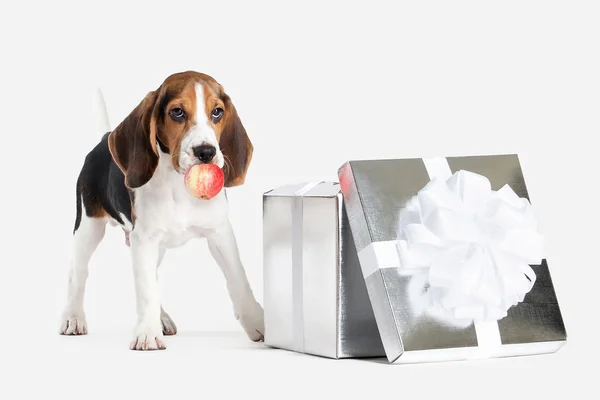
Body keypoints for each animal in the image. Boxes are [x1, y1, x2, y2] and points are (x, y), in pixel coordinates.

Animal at [59, 72, 264, 350]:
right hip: (88, 226)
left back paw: (161, 318)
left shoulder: (220, 233)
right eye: (177, 112)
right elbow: (146, 290)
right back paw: (73, 317)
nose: (206, 152)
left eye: (217, 112)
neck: (179, 184)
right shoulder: (144, 239)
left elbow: (239, 280)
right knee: (77, 272)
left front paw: (258, 322)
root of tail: (104, 139)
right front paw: (147, 332)